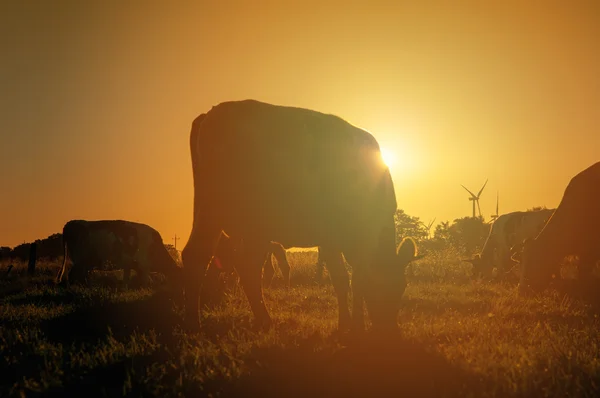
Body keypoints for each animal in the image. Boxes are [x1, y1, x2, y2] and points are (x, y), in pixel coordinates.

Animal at [183, 99, 418, 332]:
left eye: (402, 286)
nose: (389, 330)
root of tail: (210, 114)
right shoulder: (332, 237)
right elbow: (345, 280)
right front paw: (349, 327)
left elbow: (353, 280)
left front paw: (354, 324)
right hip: (220, 209)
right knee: (204, 257)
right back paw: (200, 324)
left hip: (243, 224)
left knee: (239, 265)